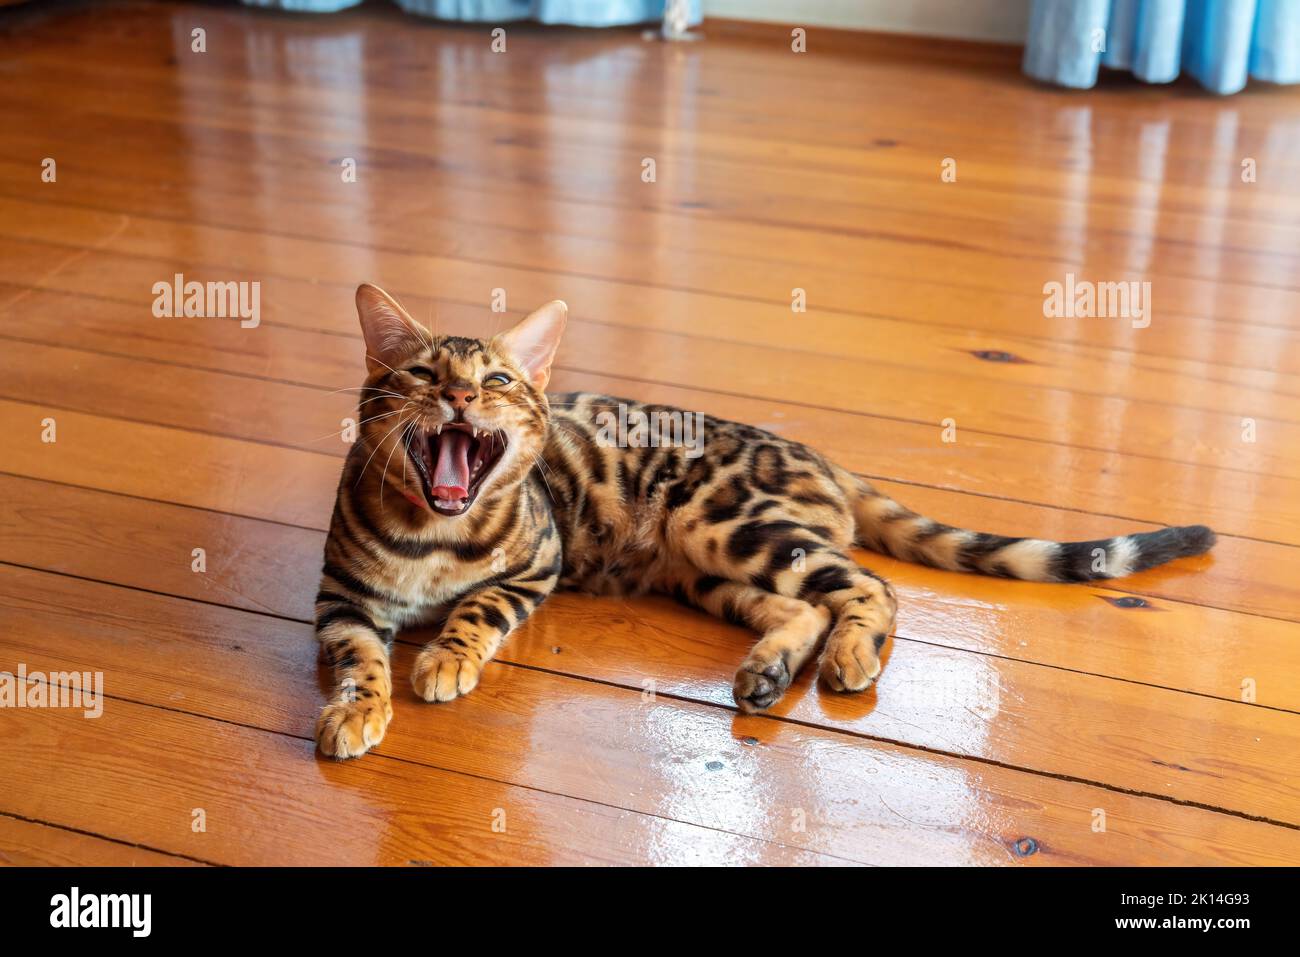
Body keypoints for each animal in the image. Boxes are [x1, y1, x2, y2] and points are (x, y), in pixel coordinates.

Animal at [314, 280, 1216, 759]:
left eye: (498, 379)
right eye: (423, 373)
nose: (461, 396)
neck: (431, 536)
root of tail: (810, 449)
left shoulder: (538, 561)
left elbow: (479, 606)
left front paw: (444, 656)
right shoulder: (338, 596)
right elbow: (361, 655)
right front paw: (358, 708)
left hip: (725, 522)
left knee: (871, 585)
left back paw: (850, 654)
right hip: (704, 570)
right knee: (802, 606)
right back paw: (770, 670)